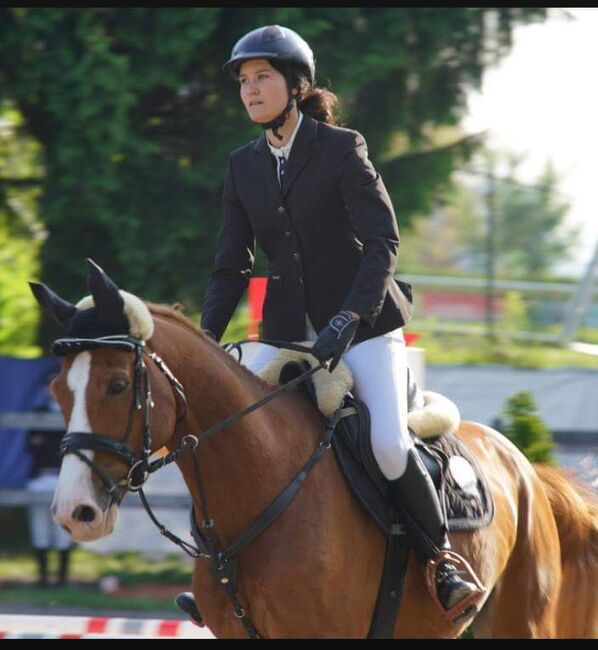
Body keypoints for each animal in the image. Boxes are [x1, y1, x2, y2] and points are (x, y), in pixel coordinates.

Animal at [34, 276, 598, 636]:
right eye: (58, 390)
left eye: (117, 384)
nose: (75, 513)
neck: (261, 487)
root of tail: (523, 465)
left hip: (522, 622)